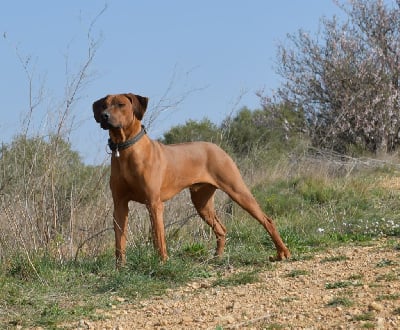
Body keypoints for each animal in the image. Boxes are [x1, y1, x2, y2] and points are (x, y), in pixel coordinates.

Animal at [92, 93, 290, 268]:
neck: (125, 150)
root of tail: (217, 148)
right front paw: (120, 268)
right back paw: (217, 257)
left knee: (267, 220)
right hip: (201, 203)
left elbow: (159, 238)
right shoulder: (119, 205)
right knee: (221, 229)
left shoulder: (154, 203)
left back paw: (282, 252)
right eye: (104, 105)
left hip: (237, 190)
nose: (104, 116)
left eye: (121, 105)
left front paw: (163, 263)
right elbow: (119, 241)